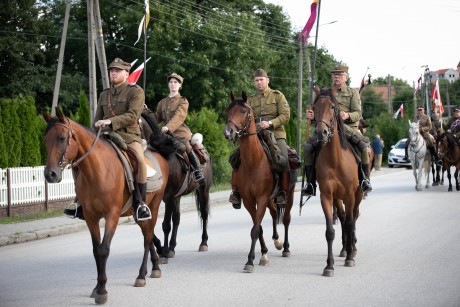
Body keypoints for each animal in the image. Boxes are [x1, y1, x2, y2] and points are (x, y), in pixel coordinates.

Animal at [42, 109, 169, 306]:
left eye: (62, 138)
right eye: (46, 139)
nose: (50, 174)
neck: (96, 171)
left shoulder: (112, 215)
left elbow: (104, 249)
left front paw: (102, 290)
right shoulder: (91, 217)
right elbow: (96, 250)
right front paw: (96, 288)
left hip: (153, 207)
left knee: (147, 238)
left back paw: (141, 275)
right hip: (137, 214)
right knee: (147, 235)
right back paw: (154, 266)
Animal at [140, 112, 214, 264]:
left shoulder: (168, 196)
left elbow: (165, 225)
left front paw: (163, 254)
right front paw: (161, 248)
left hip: (203, 189)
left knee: (203, 214)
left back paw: (203, 243)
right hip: (177, 196)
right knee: (177, 219)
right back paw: (172, 248)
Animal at [224, 92, 294, 274]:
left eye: (243, 111)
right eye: (228, 111)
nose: (228, 132)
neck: (253, 162)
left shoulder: (261, 198)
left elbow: (256, 229)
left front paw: (250, 261)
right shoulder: (249, 200)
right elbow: (258, 227)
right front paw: (263, 254)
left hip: (288, 196)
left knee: (286, 219)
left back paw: (286, 248)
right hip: (270, 199)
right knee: (275, 213)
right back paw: (277, 241)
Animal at [312, 88, 362, 278]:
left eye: (333, 107)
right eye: (314, 107)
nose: (321, 133)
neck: (335, 160)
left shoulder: (350, 195)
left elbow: (349, 223)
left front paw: (349, 258)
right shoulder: (327, 196)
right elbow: (330, 231)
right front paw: (329, 265)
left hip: (357, 195)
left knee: (353, 217)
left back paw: (352, 249)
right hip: (338, 198)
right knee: (341, 217)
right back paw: (344, 248)